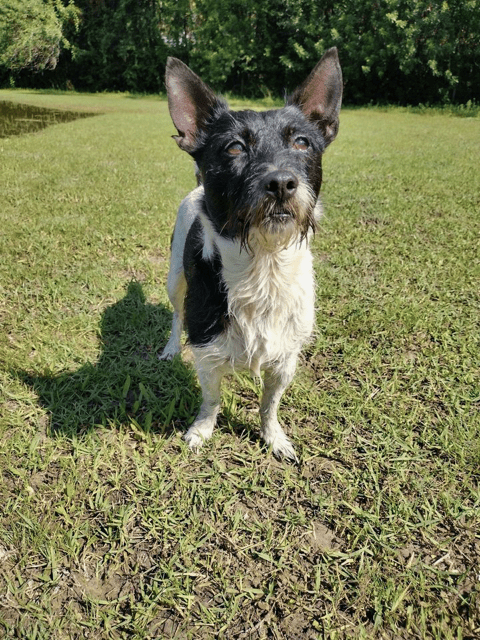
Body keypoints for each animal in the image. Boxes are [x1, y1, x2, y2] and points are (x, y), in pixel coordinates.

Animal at [160, 50, 342, 460]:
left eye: (302, 143)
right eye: (234, 148)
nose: (281, 183)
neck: (264, 268)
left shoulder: (285, 361)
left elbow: (269, 404)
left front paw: (273, 437)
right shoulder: (207, 354)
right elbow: (211, 400)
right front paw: (201, 431)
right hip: (175, 278)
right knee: (177, 314)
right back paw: (170, 348)